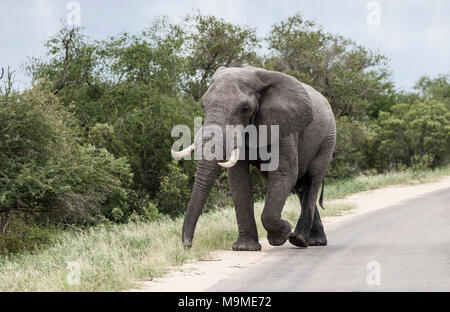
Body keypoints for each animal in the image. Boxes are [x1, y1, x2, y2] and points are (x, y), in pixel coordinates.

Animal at [171, 66, 334, 251]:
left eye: (245, 109)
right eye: (203, 105)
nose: (188, 245)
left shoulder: (284, 128)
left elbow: (284, 174)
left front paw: (282, 233)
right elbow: (238, 179)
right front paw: (245, 248)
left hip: (327, 140)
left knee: (312, 181)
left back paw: (300, 240)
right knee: (301, 187)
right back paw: (312, 241)